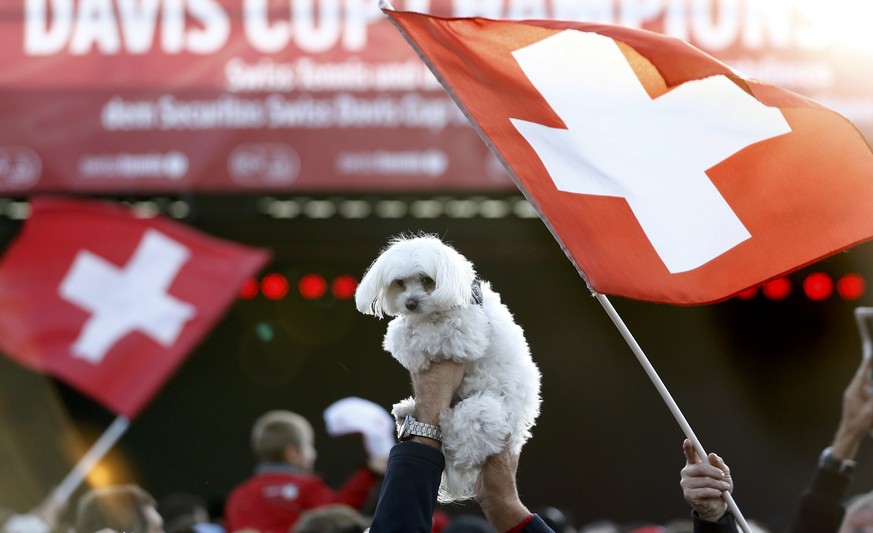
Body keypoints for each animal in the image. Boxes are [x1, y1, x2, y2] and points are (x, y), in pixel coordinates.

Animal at [354, 232, 540, 498]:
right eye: (400, 282)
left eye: (426, 280)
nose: (410, 303)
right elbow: (401, 330)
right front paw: (407, 343)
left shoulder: (464, 335)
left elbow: (427, 335)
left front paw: (415, 352)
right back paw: (407, 410)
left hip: (487, 410)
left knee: (462, 443)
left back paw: (446, 423)